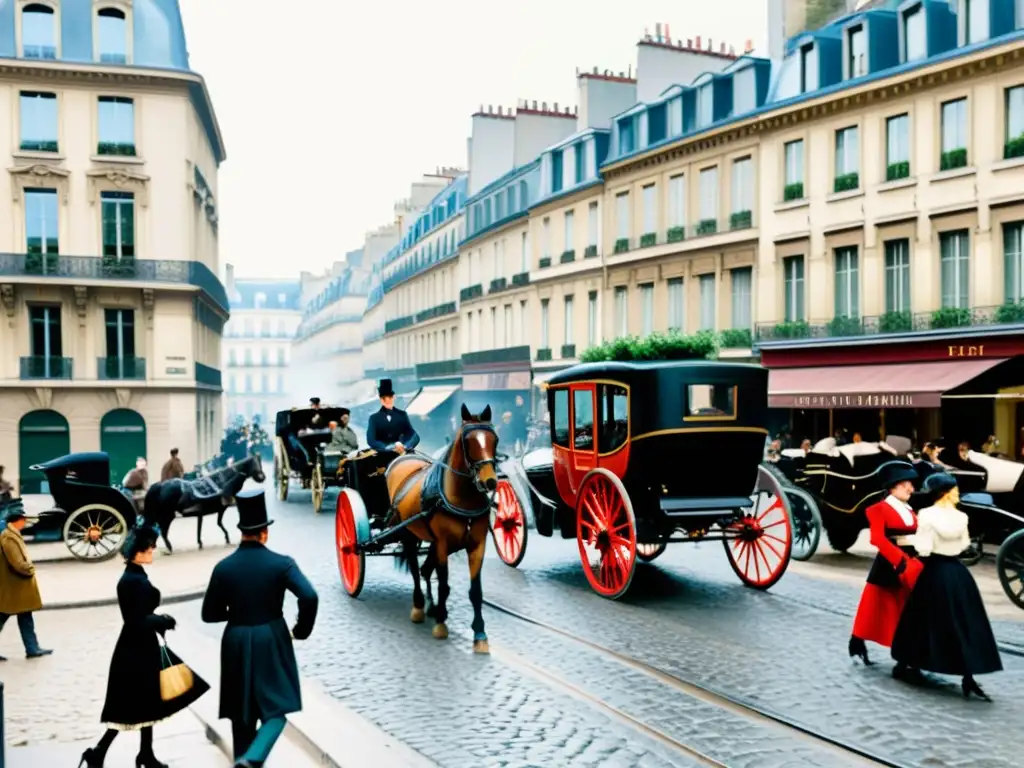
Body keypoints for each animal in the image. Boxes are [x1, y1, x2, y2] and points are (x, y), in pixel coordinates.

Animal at [387, 403, 499, 655]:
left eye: (494, 439)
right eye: (468, 442)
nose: (489, 482)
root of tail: (404, 458)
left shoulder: (476, 544)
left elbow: (475, 591)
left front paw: (480, 634)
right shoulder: (442, 543)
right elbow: (444, 585)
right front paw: (440, 623)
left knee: (425, 570)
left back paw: (430, 605)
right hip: (409, 535)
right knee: (416, 570)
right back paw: (419, 606)